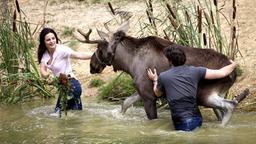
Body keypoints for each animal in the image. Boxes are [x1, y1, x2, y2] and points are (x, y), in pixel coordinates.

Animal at [75, 22, 248, 125]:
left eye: (98, 48)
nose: (92, 66)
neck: (128, 63)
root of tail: (234, 72)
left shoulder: (148, 94)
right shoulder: (143, 90)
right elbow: (125, 103)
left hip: (204, 93)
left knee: (230, 105)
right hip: (220, 92)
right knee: (224, 109)